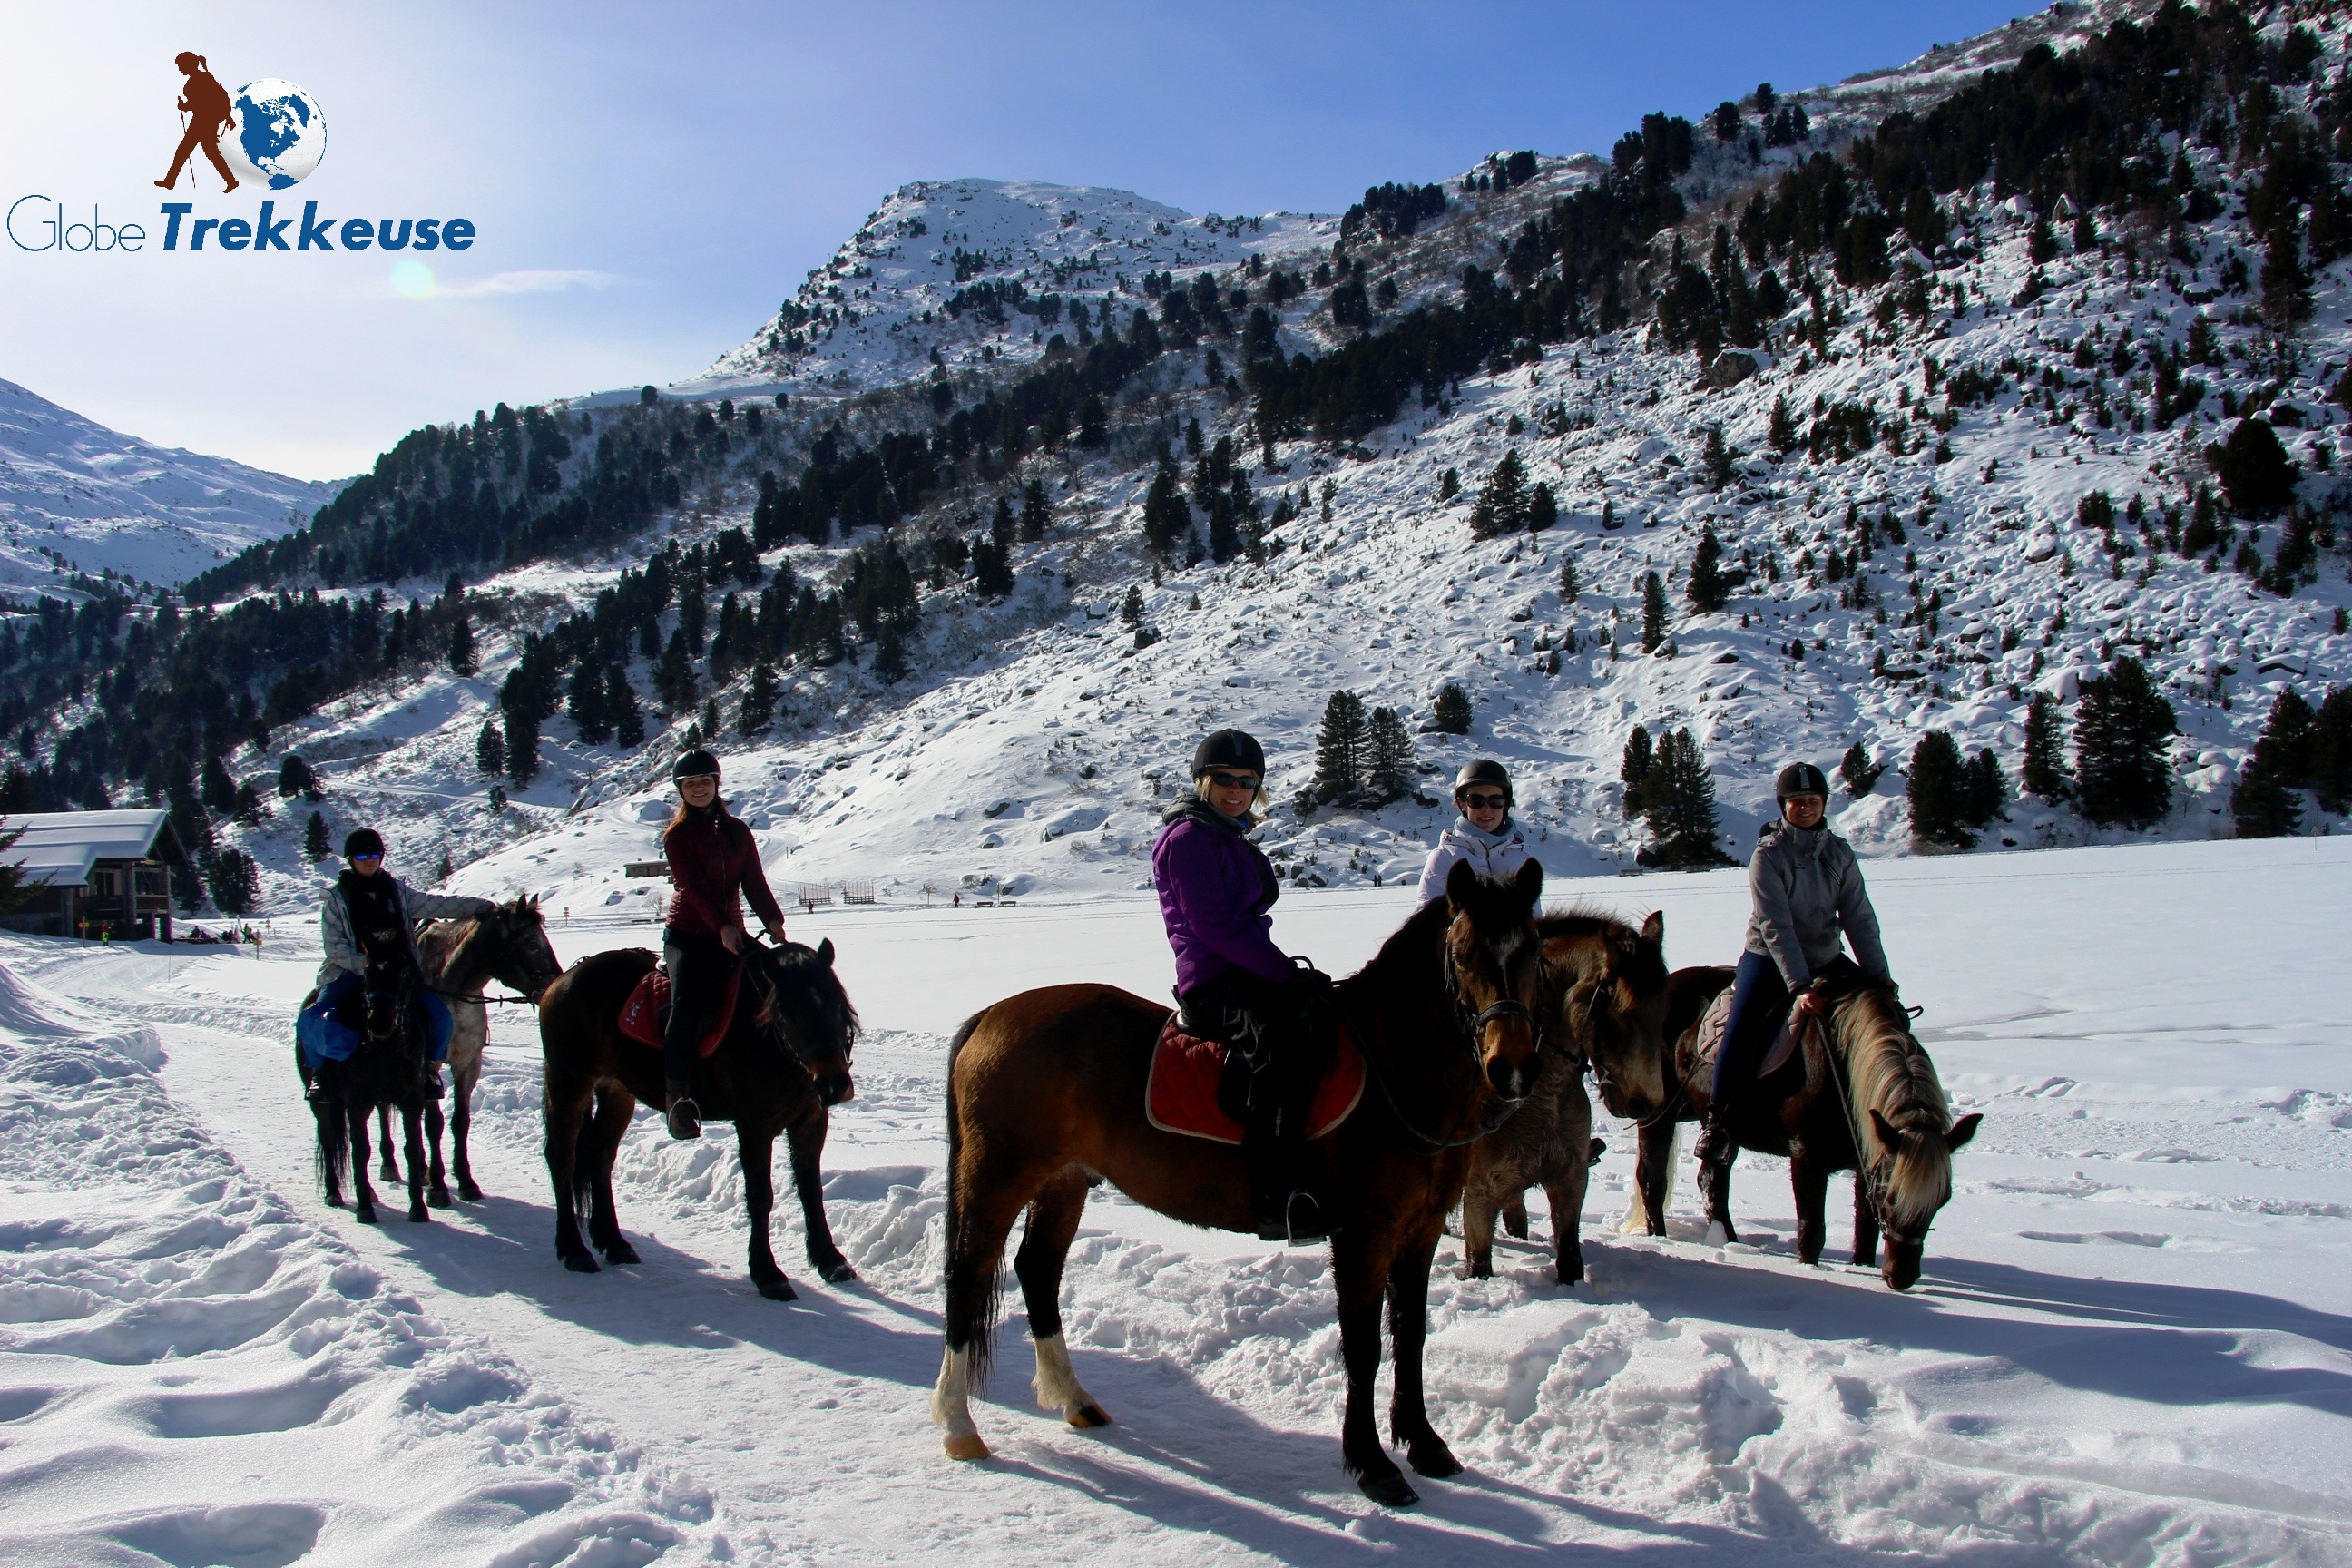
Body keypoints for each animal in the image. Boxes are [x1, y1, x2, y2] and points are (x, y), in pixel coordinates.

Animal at [538, 940, 860, 1298]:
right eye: (789, 1012)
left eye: (837, 1006)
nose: (834, 1083)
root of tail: (562, 980)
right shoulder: (754, 1124)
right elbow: (760, 1195)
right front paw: (767, 1272)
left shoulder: (811, 1120)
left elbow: (811, 1189)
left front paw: (830, 1260)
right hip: (569, 1081)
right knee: (562, 1158)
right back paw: (574, 1250)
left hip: (617, 1091)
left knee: (599, 1155)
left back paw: (614, 1242)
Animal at [926, 860, 1552, 1504]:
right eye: (1463, 954)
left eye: (1533, 949)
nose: (1512, 1067)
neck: (1393, 1070)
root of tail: (991, 1017)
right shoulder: (1364, 1234)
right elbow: (1363, 1345)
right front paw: (1373, 1464)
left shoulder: (1420, 1229)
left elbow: (1409, 1334)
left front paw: (1424, 1444)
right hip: (999, 1176)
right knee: (967, 1276)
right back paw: (959, 1426)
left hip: (1063, 1181)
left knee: (1037, 1271)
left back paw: (1074, 1399)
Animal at [1448, 907, 1674, 1288]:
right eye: (1623, 1015)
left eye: (1663, 1011)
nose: (1645, 1103)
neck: (1541, 1096)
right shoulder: (1480, 1194)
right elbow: (1479, 1265)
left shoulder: (1570, 1183)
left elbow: (1569, 1259)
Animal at [1637, 964, 1984, 1298]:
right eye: (1890, 1195)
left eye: (1943, 1198)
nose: (1902, 1277)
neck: (1844, 1068)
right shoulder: (1807, 1158)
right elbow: (1812, 1230)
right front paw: (1810, 1270)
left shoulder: (1867, 1160)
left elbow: (1865, 1232)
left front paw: (1863, 1267)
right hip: (1658, 1114)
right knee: (1653, 1179)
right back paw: (1661, 1238)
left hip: (1722, 1129)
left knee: (1712, 1181)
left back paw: (1729, 1242)